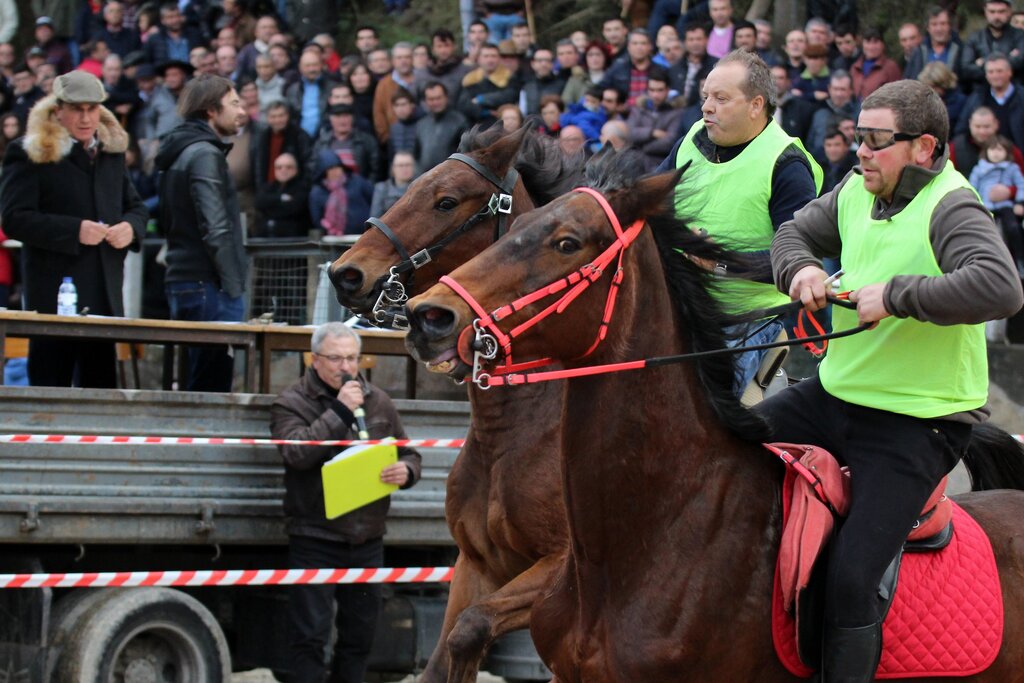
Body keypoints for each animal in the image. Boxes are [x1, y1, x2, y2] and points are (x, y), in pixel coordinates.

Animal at [329, 126, 585, 683]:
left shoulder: (560, 569)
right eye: (408, 186)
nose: (346, 274)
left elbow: (471, 629)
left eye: (445, 201)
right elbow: (445, 652)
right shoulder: (477, 565)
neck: (517, 432)